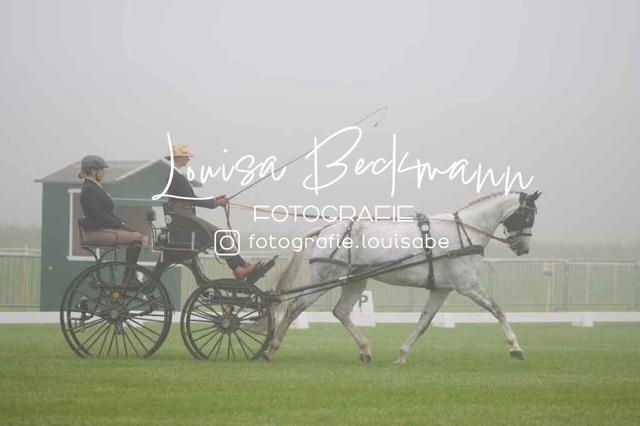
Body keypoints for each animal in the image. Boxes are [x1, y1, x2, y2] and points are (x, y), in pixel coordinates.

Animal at [264, 190, 541, 364]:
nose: (523, 248)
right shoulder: (468, 286)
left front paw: (402, 354)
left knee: (341, 312)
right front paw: (515, 348)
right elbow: (497, 309)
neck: (463, 233)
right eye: (528, 215)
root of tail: (326, 227)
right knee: (294, 308)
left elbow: (423, 323)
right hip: (324, 279)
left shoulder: (441, 289)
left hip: (356, 281)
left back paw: (366, 351)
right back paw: (271, 349)